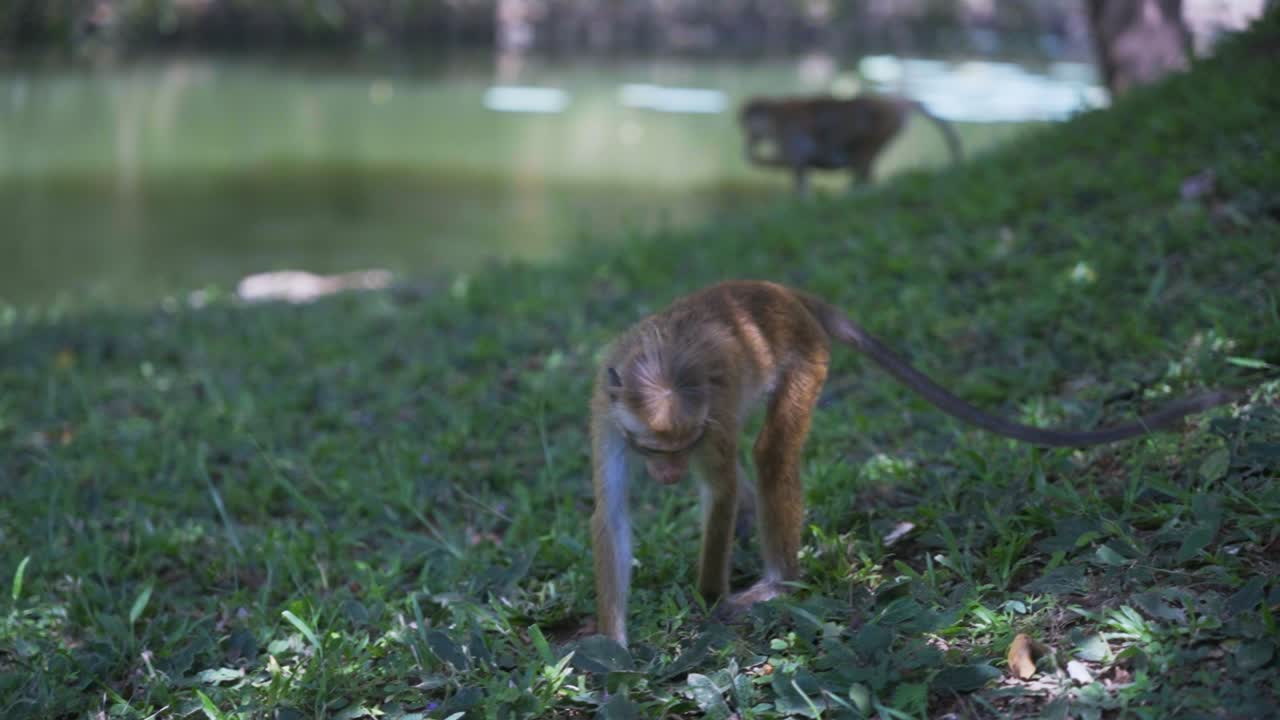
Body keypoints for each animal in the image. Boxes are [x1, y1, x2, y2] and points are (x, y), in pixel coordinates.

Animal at [590, 280, 1232, 646]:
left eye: (679, 448)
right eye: (656, 450)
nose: (669, 474)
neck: (665, 352)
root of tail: (778, 292)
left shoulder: (712, 420)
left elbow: (720, 489)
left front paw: (707, 601)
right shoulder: (606, 411)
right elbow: (612, 518)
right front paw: (613, 650)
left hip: (807, 353)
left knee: (770, 452)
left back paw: (779, 581)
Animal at [739, 94, 963, 195]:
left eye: (750, 119)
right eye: (744, 122)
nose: (748, 134)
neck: (774, 117)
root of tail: (891, 102)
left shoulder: (789, 134)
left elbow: (798, 165)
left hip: (881, 127)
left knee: (861, 163)